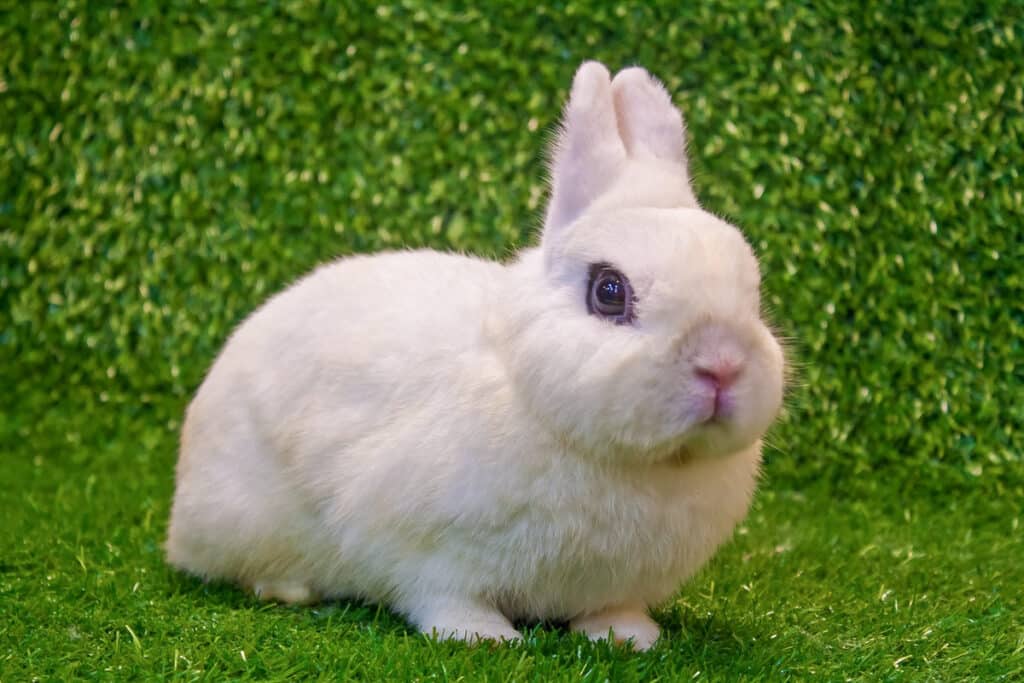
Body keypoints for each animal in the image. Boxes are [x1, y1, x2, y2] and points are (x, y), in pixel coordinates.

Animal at [166, 60, 786, 651]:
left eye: (753, 293)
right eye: (609, 291)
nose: (723, 364)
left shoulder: (615, 582)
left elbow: (611, 609)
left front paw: (631, 638)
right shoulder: (425, 549)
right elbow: (444, 595)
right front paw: (482, 637)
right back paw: (287, 587)